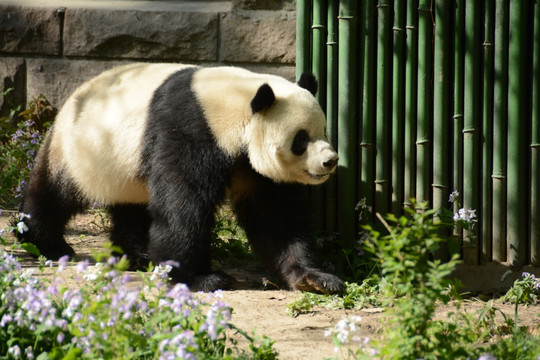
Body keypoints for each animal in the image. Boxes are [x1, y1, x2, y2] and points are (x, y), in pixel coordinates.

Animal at [20, 62, 346, 292]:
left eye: (324, 131)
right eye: (300, 139)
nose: (330, 161)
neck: (236, 102)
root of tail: (72, 96)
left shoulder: (255, 168)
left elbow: (275, 216)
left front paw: (314, 278)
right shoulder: (191, 128)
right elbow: (184, 203)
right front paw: (200, 279)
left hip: (123, 169)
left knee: (131, 206)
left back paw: (136, 255)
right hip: (81, 149)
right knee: (55, 194)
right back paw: (43, 242)